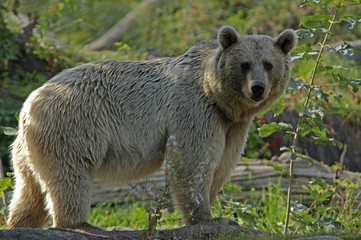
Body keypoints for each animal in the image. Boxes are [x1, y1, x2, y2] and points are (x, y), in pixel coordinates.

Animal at [7, 25, 296, 230]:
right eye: (244, 64)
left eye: (268, 64)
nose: (257, 88)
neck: (218, 97)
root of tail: (29, 105)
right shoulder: (195, 111)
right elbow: (192, 162)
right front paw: (207, 218)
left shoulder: (233, 126)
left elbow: (223, 164)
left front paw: (219, 214)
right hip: (74, 126)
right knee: (70, 175)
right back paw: (79, 223)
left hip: (26, 150)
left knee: (28, 193)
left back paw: (20, 224)